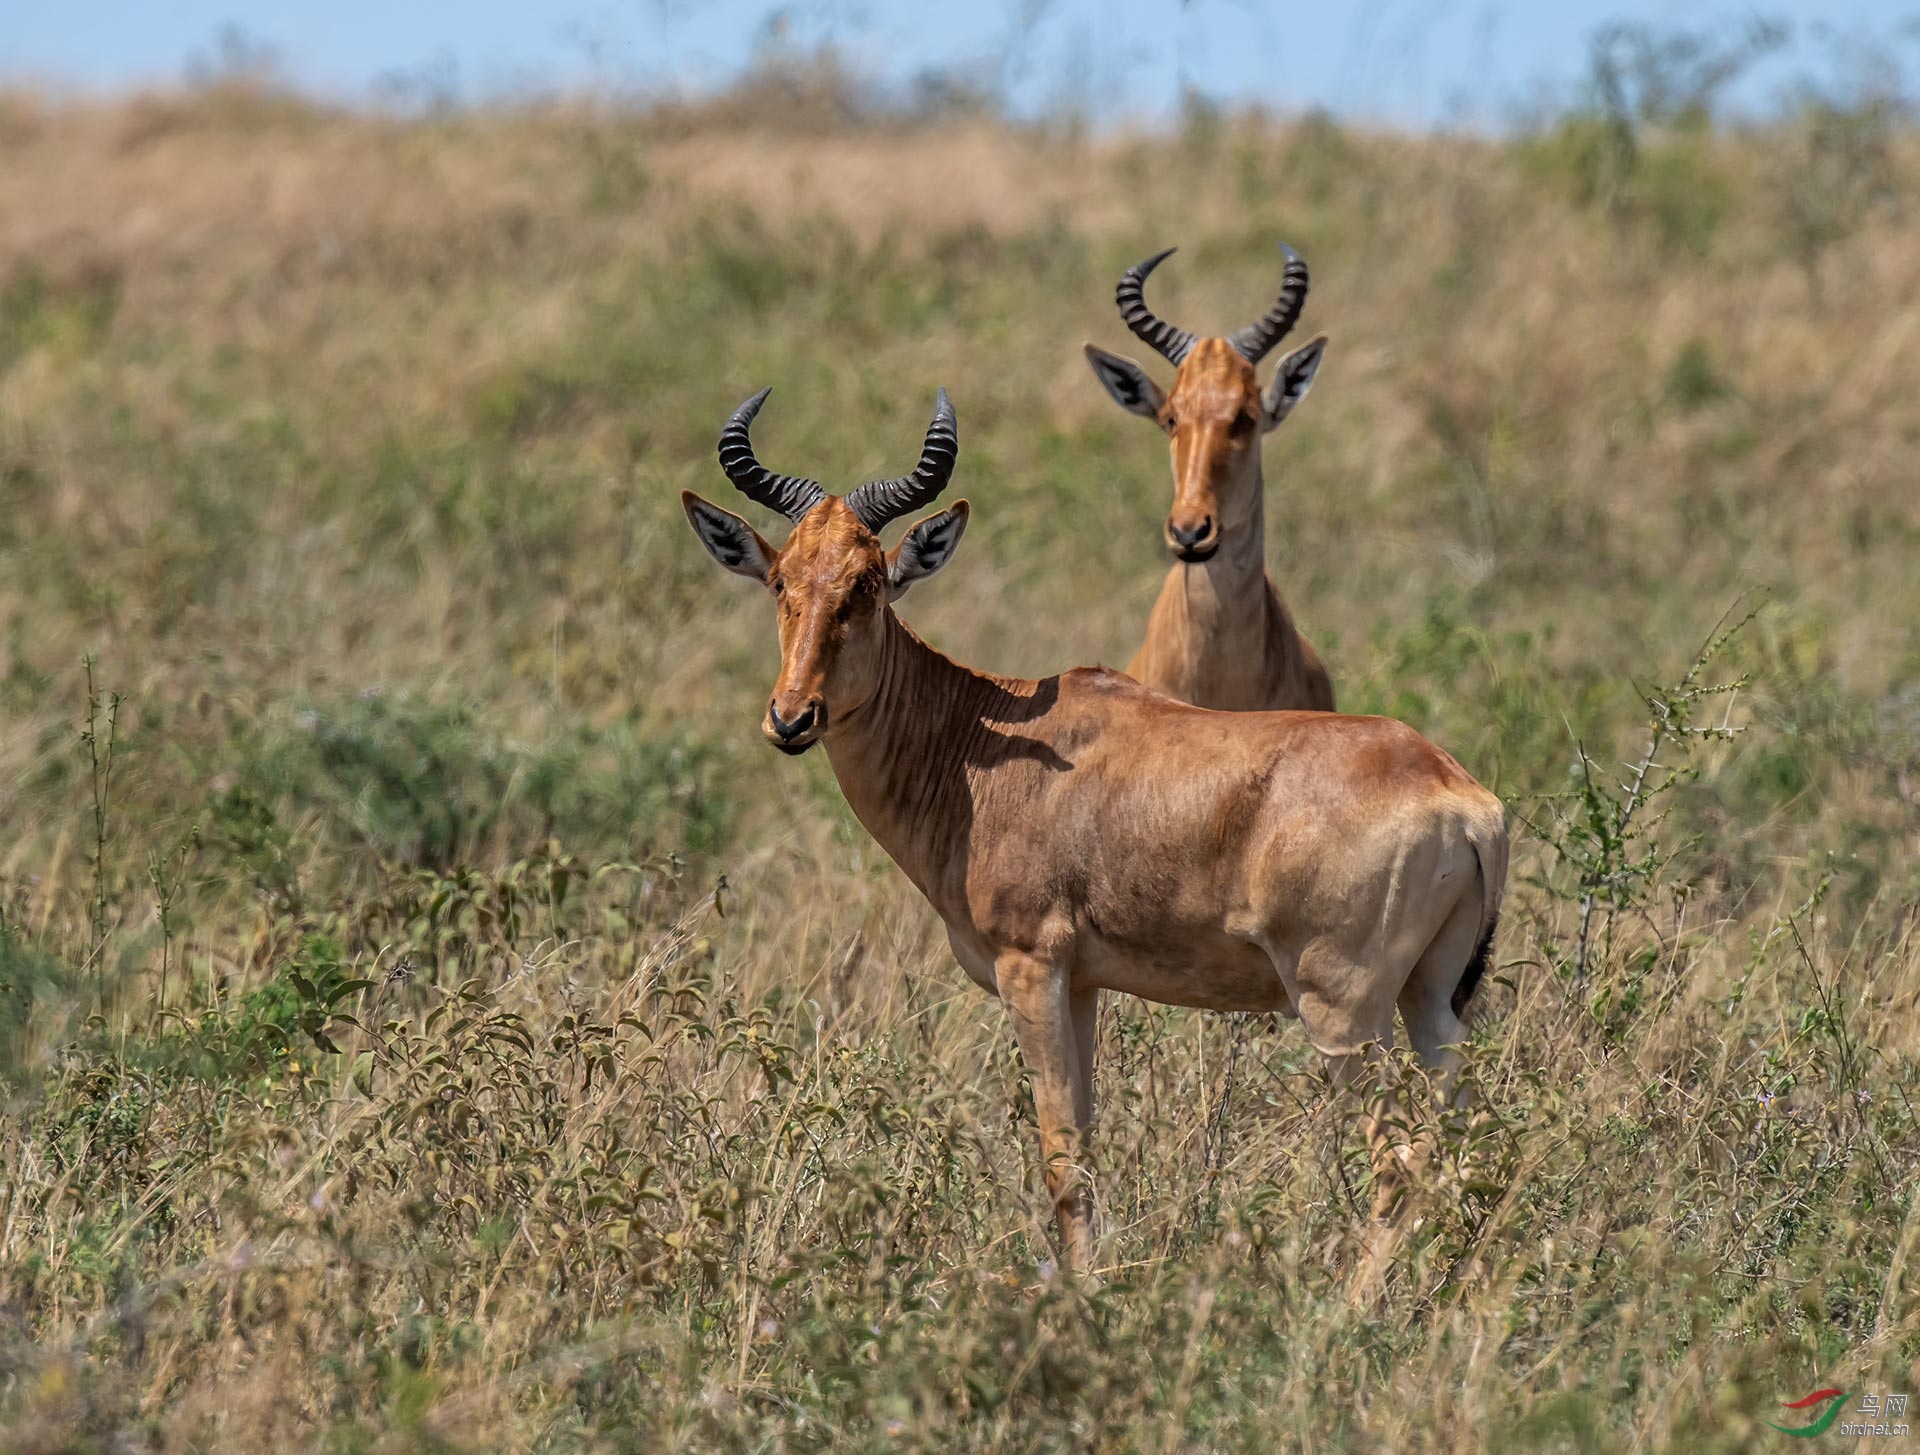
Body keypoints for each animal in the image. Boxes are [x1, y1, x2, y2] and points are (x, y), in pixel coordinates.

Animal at [683, 387, 1505, 1274]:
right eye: (781, 578)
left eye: (869, 582)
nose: (791, 717)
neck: (981, 741)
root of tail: (1462, 798)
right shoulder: (1083, 984)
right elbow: (1087, 1143)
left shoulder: (1032, 968)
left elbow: (1060, 1157)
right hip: (1431, 1000)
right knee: (1466, 1146)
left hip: (1343, 1011)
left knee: (1400, 1159)